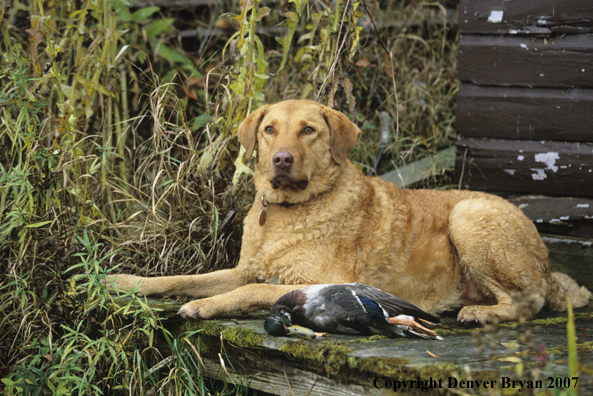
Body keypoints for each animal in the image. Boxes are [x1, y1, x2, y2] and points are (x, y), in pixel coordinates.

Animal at [108, 100, 588, 324]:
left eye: (308, 130)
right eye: (270, 129)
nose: (281, 159)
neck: (290, 211)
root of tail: (548, 265)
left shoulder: (317, 282)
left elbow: (250, 291)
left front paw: (204, 307)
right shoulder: (243, 268)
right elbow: (181, 278)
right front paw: (124, 281)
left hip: (469, 215)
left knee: (529, 300)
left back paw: (484, 313)